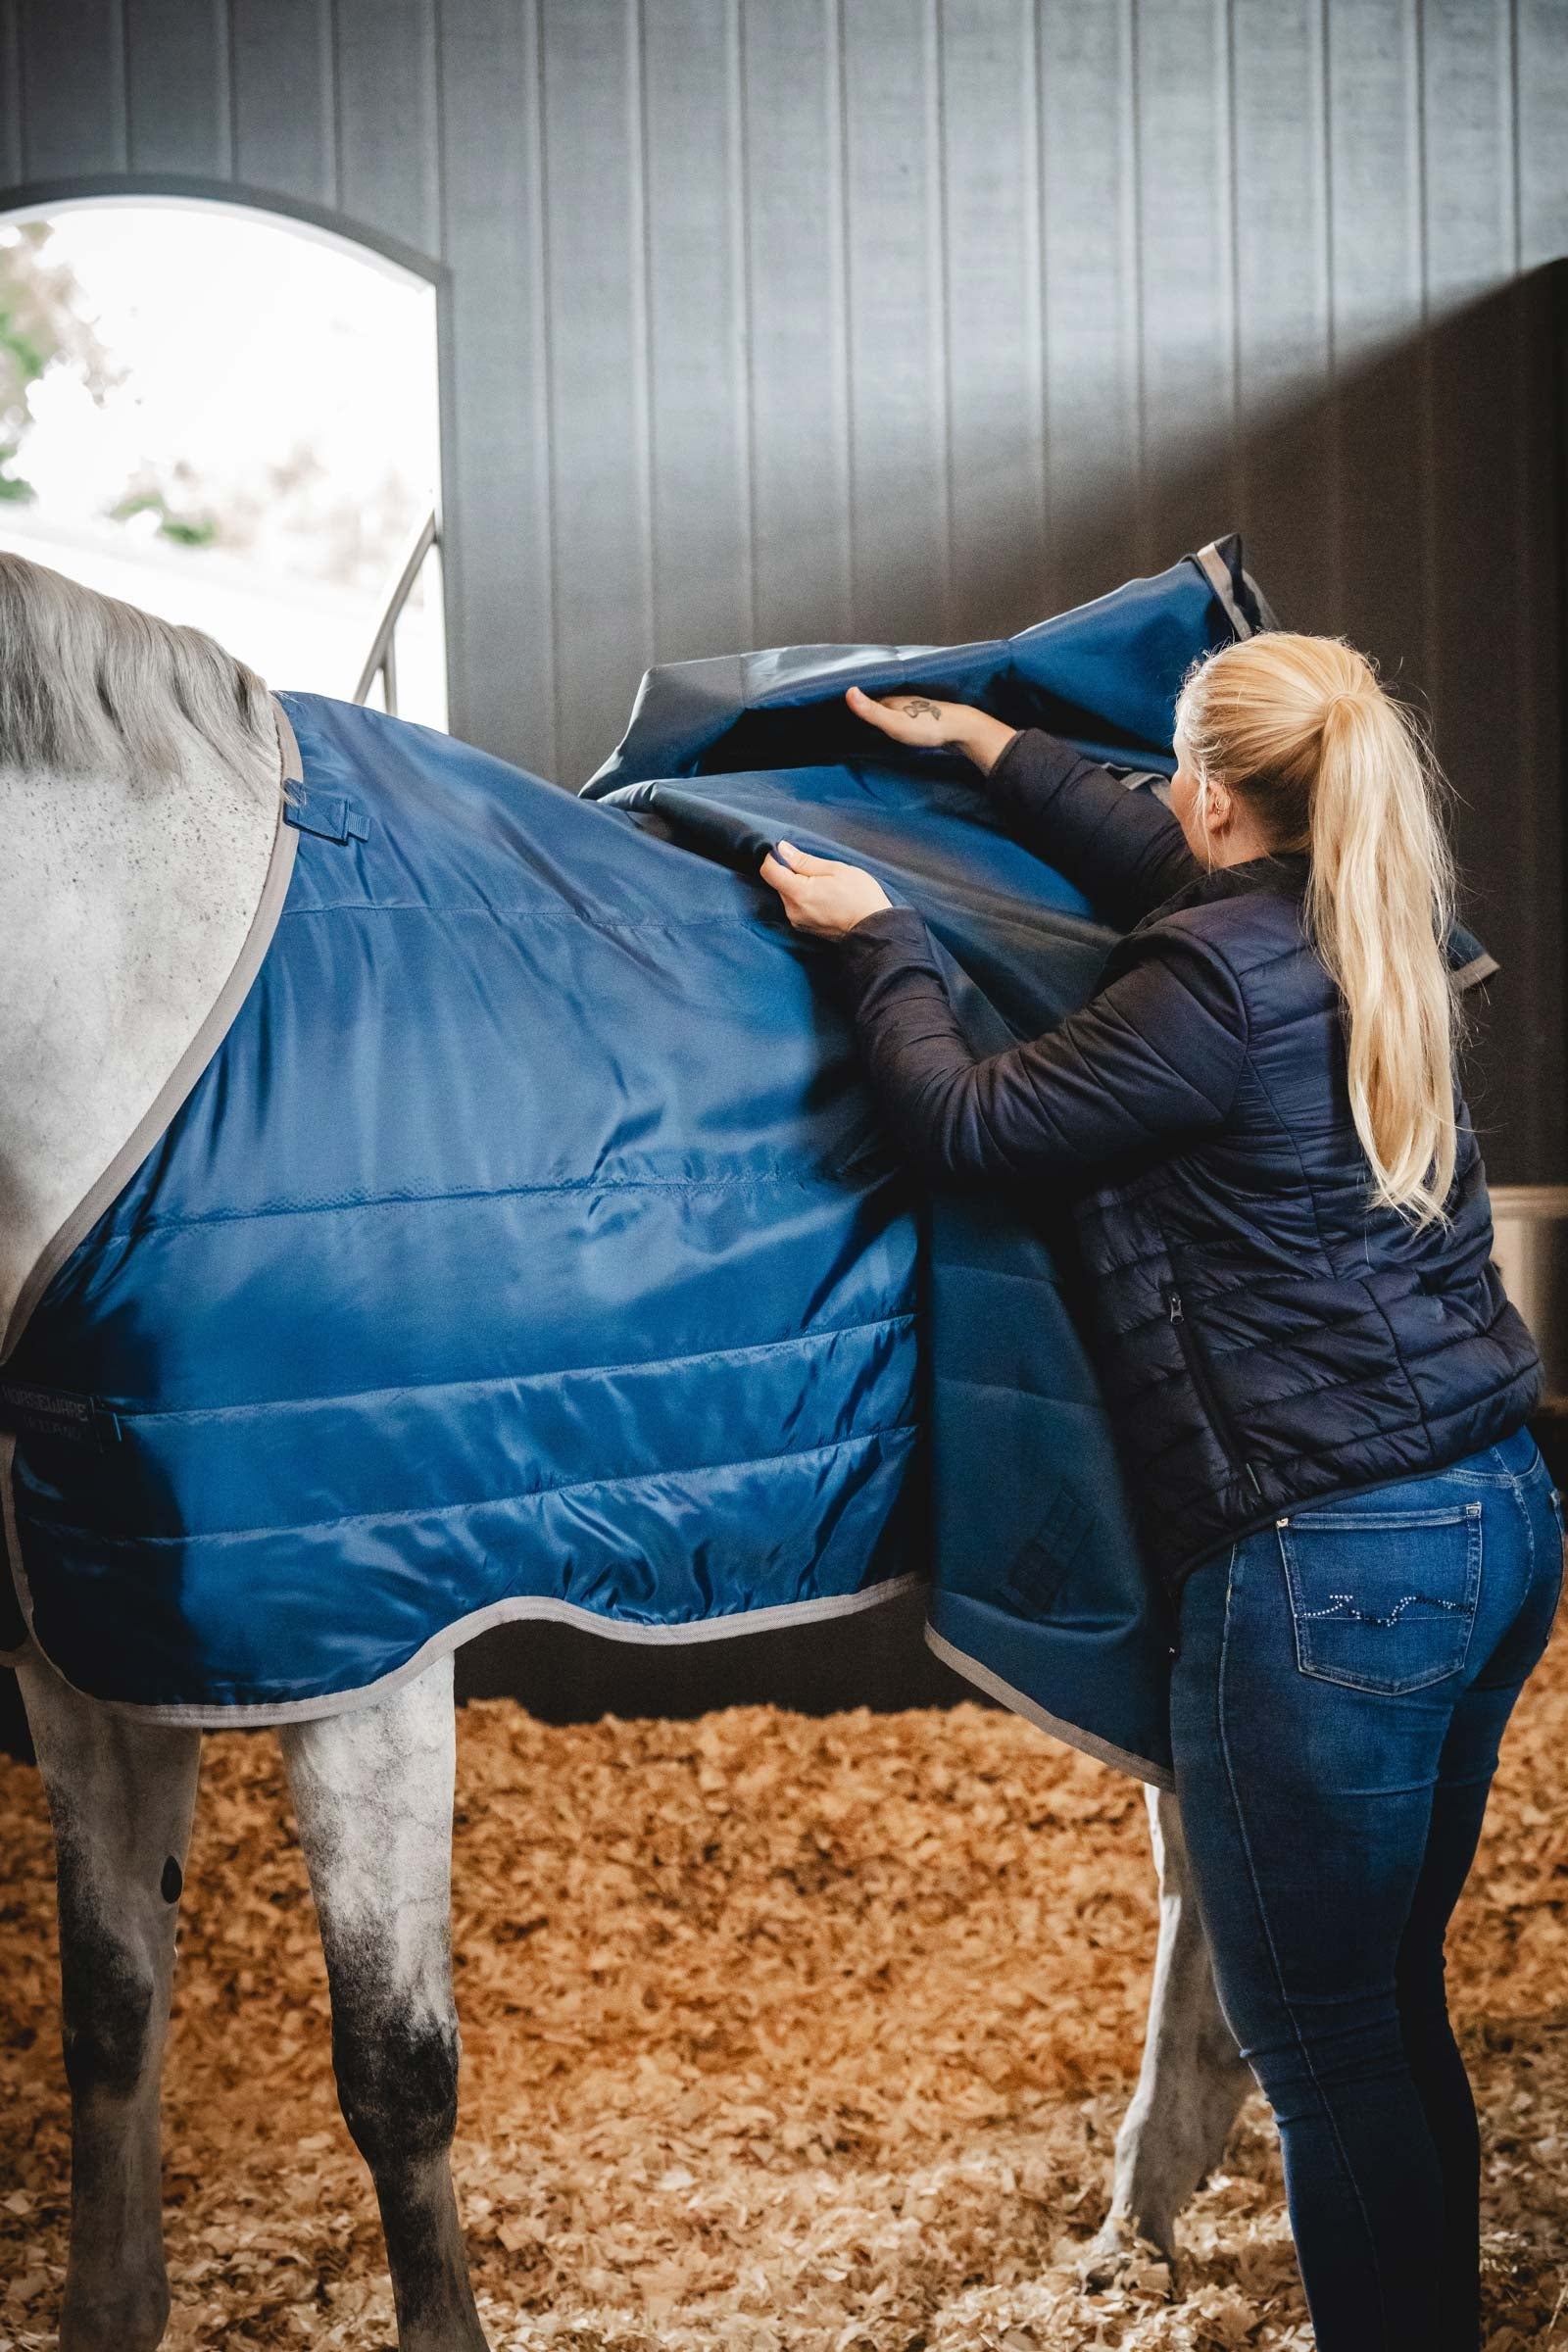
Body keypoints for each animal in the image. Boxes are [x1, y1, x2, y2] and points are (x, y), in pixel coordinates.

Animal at [0, 547, 1257, 2352]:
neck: (143, 1021)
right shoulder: (96, 1638)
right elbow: (109, 2018)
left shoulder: (366, 1641)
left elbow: (394, 2072)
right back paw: (1154, 2206)